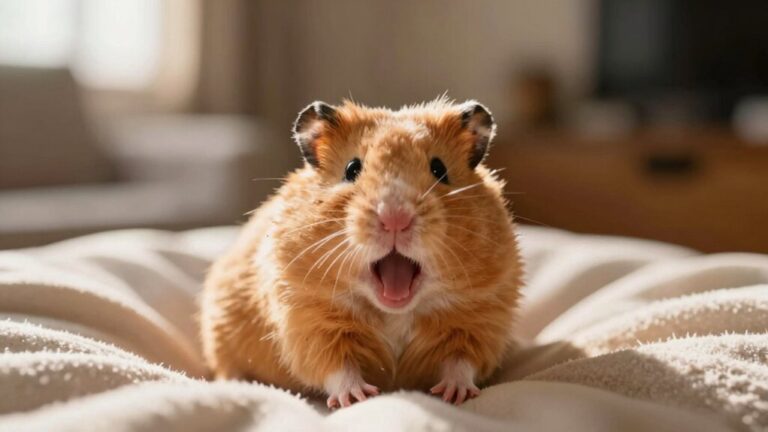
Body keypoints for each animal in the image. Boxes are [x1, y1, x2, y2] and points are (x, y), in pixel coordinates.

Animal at [200, 98, 523, 408]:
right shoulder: (309, 322)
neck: (394, 311)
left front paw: (454, 395)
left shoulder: (480, 320)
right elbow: (338, 367)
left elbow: (461, 362)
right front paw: (357, 397)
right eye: (352, 169)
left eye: (439, 169)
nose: (395, 218)